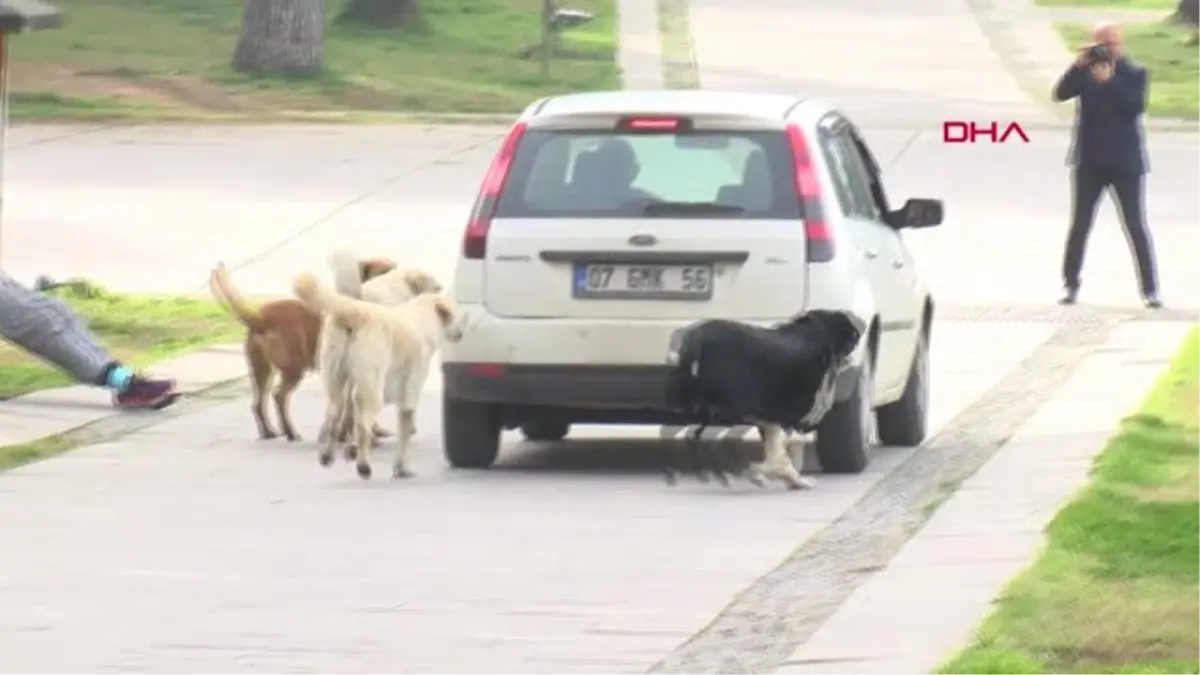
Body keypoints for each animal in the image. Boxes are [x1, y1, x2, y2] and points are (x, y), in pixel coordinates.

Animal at [207, 257, 393, 441]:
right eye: (384, 272)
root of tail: (260, 317)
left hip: (262, 370)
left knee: (258, 403)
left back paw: (269, 432)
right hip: (293, 369)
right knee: (279, 397)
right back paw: (290, 432)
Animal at [292, 270, 465, 480]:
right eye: (456, 315)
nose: (462, 333)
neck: (422, 318)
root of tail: (353, 310)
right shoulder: (411, 388)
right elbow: (405, 427)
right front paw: (402, 467)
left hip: (334, 372)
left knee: (335, 415)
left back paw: (327, 455)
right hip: (372, 386)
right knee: (361, 427)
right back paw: (363, 465)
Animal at [667, 307, 864, 485]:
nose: (858, 333)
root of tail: (697, 339)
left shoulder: (771, 418)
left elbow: (775, 449)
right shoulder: (784, 416)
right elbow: (779, 454)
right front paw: (780, 475)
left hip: (704, 407)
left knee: (694, 434)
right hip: (724, 408)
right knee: (700, 435)